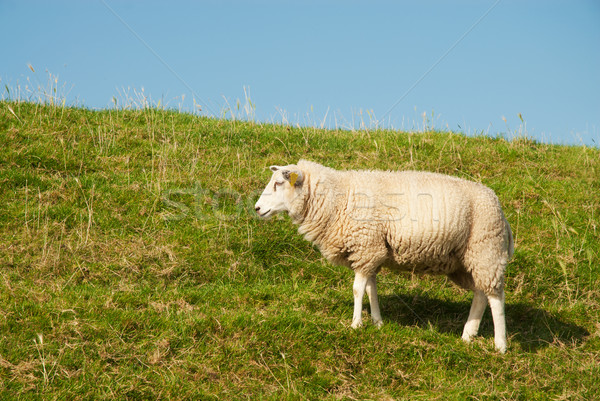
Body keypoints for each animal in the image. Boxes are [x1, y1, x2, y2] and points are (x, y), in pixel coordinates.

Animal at [255, 159, 512, 354]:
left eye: (279, 183)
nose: (257, 208)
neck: (335, 199)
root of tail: (498, 207)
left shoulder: (366, 245)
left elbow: (357, 289)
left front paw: (356, 324)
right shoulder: (371, 251)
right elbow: (371, 288)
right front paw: (377, 323)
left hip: (486, 248)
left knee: (496, 297)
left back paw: (500, 345)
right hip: (467, 260)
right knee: (481, 294)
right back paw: (467, 336)